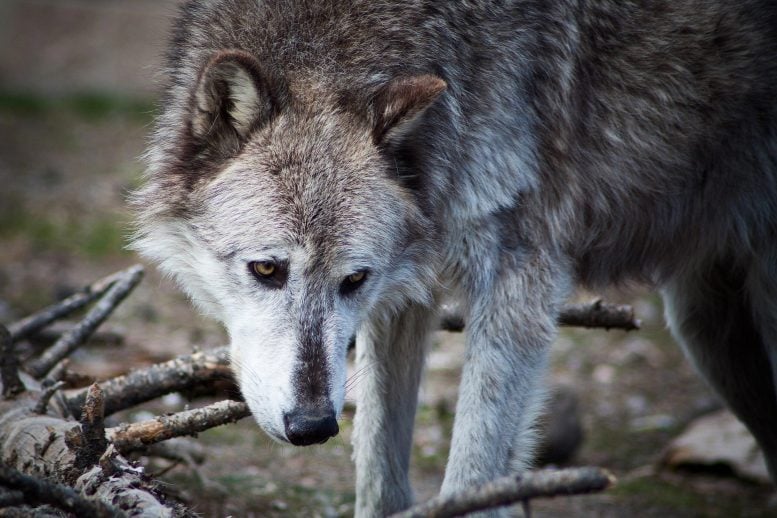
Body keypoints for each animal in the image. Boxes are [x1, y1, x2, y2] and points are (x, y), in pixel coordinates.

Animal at [131, 0, 777, 514]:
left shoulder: (520, 283)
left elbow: (471, 480)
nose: (313, 426)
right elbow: (380, 478)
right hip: (707, 331)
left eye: (354, 279)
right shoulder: (403, 301)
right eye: (266, 269)